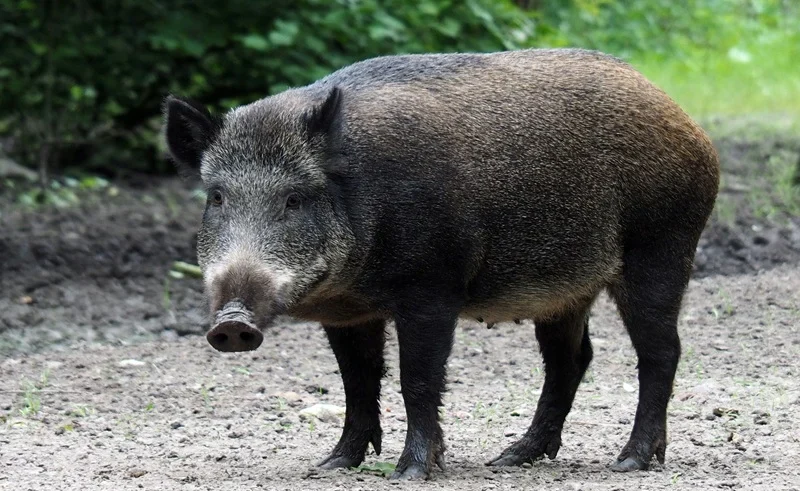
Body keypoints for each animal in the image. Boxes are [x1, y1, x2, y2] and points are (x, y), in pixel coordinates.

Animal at [163, 48, 719, 480]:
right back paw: (512, 458)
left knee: (661, 351)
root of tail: (687, 123)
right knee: (572, 360)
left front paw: (411, 472)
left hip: (662, 248)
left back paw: (630, 462)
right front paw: (332, 465)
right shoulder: (347, 313)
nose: (232, 323)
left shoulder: (432, 286)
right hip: (565, 291)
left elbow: (418, 377)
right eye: (217, 197)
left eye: (295, 199)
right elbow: (357, 381)